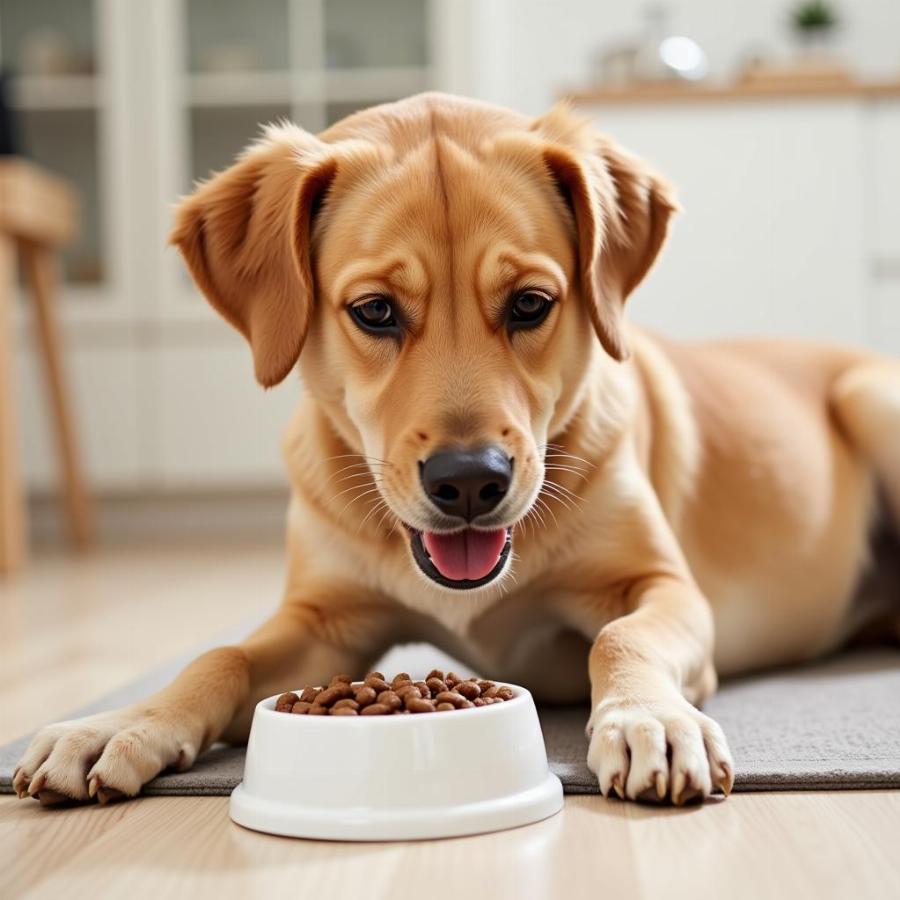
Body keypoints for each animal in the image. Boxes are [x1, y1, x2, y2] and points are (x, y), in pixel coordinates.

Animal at [14, 93, 900, 808]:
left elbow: (623, 637)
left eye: (531, 303)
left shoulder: (664, 588)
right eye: (374, 311)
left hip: (872, 399)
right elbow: (218, 655)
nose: (471, 481)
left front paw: (649, 719)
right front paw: (120, 723)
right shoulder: (323, 620)